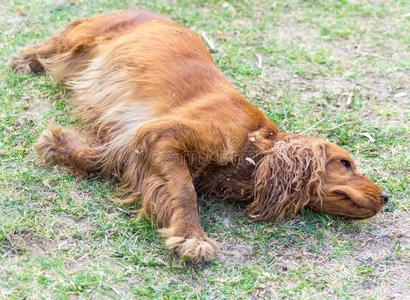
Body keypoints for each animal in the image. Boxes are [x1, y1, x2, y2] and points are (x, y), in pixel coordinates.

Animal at [8, 9, 388, 262]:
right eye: (345, 163)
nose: (387, 198)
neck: (254, 152)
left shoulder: (131, 141)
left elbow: (104, 157)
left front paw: (59, 145)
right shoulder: (160, 135)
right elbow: (184, 191)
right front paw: (192, 237)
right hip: (83, 36)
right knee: (53, 43)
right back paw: (25, 60)